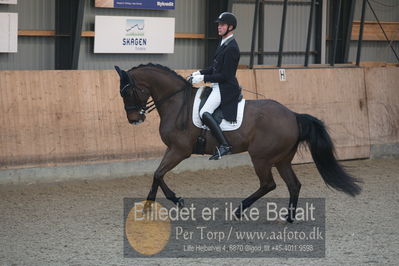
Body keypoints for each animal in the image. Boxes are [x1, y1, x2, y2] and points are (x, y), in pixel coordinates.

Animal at [113, 62, 362, 222]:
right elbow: (158, 174)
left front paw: (152, 204)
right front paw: (172, 200)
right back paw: (288, 218)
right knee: (293, 184)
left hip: (261, 158)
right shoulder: (172, 150)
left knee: (268, 184)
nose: (134, 119)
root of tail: (293, 115)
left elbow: (158, 173)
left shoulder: (180, 150)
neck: (176, 103)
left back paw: (239, 210)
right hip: (281, 159)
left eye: (127, 92)